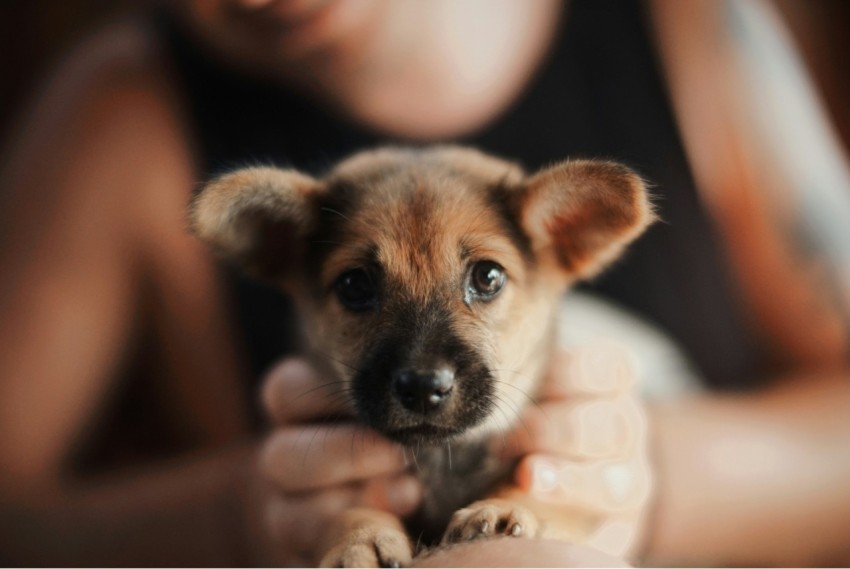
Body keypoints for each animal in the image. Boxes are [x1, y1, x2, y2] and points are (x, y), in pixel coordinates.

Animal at [187, 148, 648, 568]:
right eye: (354, 284)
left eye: (488, 276)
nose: (425, 388)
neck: (438, 457)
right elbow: (345, 508)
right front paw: (360, 537)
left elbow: (546, 495)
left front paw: (504, 507)